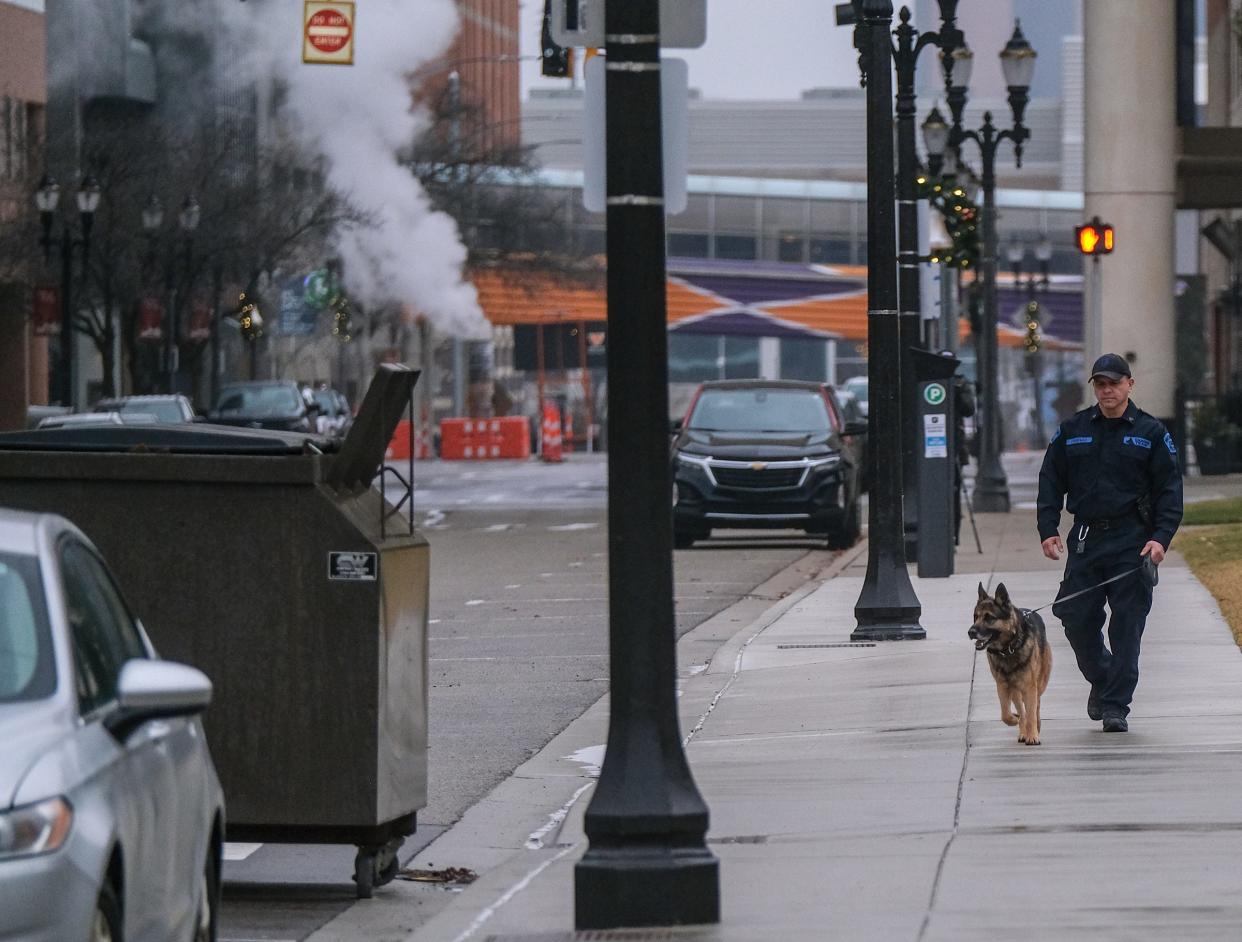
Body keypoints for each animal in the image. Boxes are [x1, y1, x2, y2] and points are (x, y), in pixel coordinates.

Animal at [968, 584, 1048, 745]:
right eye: (975, 616)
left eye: (989, 618)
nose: (970, 632)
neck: (1008, 649)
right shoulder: (1002, 686)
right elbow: (1006, 714)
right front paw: (1015, 720)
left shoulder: (1030, 687)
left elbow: (1031, 712)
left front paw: (1033, 735)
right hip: (1015, 690)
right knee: (1022, 709)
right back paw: (1022, 729)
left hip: (1040, 682)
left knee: (1036, 705)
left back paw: (1035, 726)